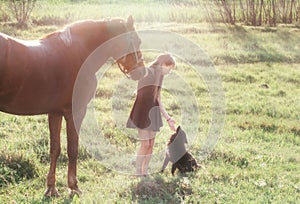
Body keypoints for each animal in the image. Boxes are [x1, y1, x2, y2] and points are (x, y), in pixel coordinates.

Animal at [0, 15, 145, 196]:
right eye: (136, 40)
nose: (142, 71)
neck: (78, 53)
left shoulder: (55, 113)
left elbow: (55, 149)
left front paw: (51, 188)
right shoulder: (74, 112)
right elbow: (73, 149)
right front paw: (74, 186)